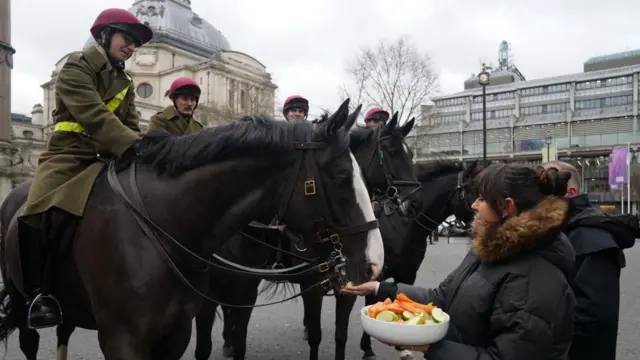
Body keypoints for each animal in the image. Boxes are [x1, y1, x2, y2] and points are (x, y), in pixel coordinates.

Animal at [192, 111, 418, 358]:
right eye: (393, 152)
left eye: (410, 154)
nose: (414, 201)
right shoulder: (311, 286)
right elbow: (316, 337)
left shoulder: (345, 287)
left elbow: (341, 334)